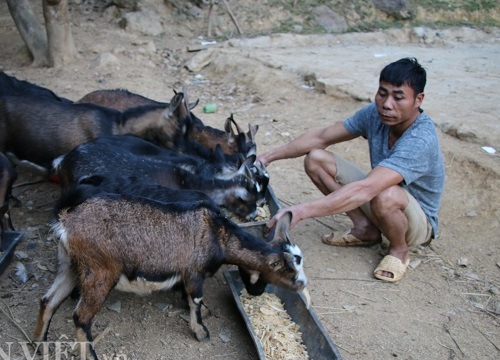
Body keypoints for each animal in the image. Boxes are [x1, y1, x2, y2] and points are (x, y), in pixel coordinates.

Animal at [33, 180, 306, 360]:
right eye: (290, 272)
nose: (303, 284)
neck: (218, 234)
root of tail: (67, 220)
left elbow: (189, 296)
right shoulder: (194, 271)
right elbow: (195, 299)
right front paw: (201, 331)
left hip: (70, 264)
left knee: (48, 301)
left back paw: (40, 346)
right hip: (100, 271)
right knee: (81, 317)